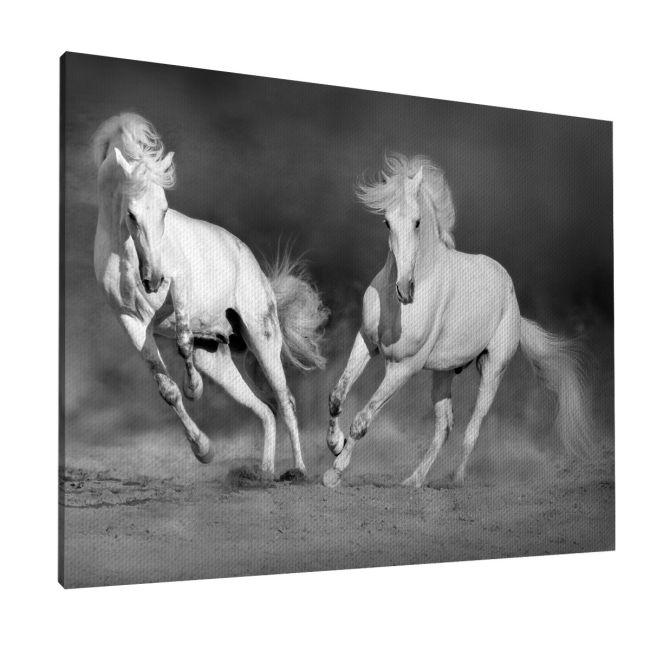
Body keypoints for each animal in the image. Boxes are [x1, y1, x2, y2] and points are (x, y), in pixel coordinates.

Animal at [91, 113, 328, 478]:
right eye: (131, 213)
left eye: (164, 210)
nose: (153, 280)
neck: (126, 254)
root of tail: (255, 268)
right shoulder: (131, 322)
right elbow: (167, 390)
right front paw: (203, 451)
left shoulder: (180, 287)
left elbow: (183, 341)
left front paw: (195, 390)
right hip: (215, 357)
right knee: (265, 409)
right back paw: (263, 473)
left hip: (262, 337)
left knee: (284, 400)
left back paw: (298, 472)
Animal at [323, 154, 591, 488]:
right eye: (386, 221)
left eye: (417, 222)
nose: (405, 290)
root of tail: (513, 301)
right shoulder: (366, 343)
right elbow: (337, 396)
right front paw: (334, 445)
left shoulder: (404, 367)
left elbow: (363, 419)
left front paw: (335, 471)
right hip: (444, 373)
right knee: (445, 427)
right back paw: (413, 481)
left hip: (492, 369)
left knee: (473, 427)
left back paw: (457, 481)